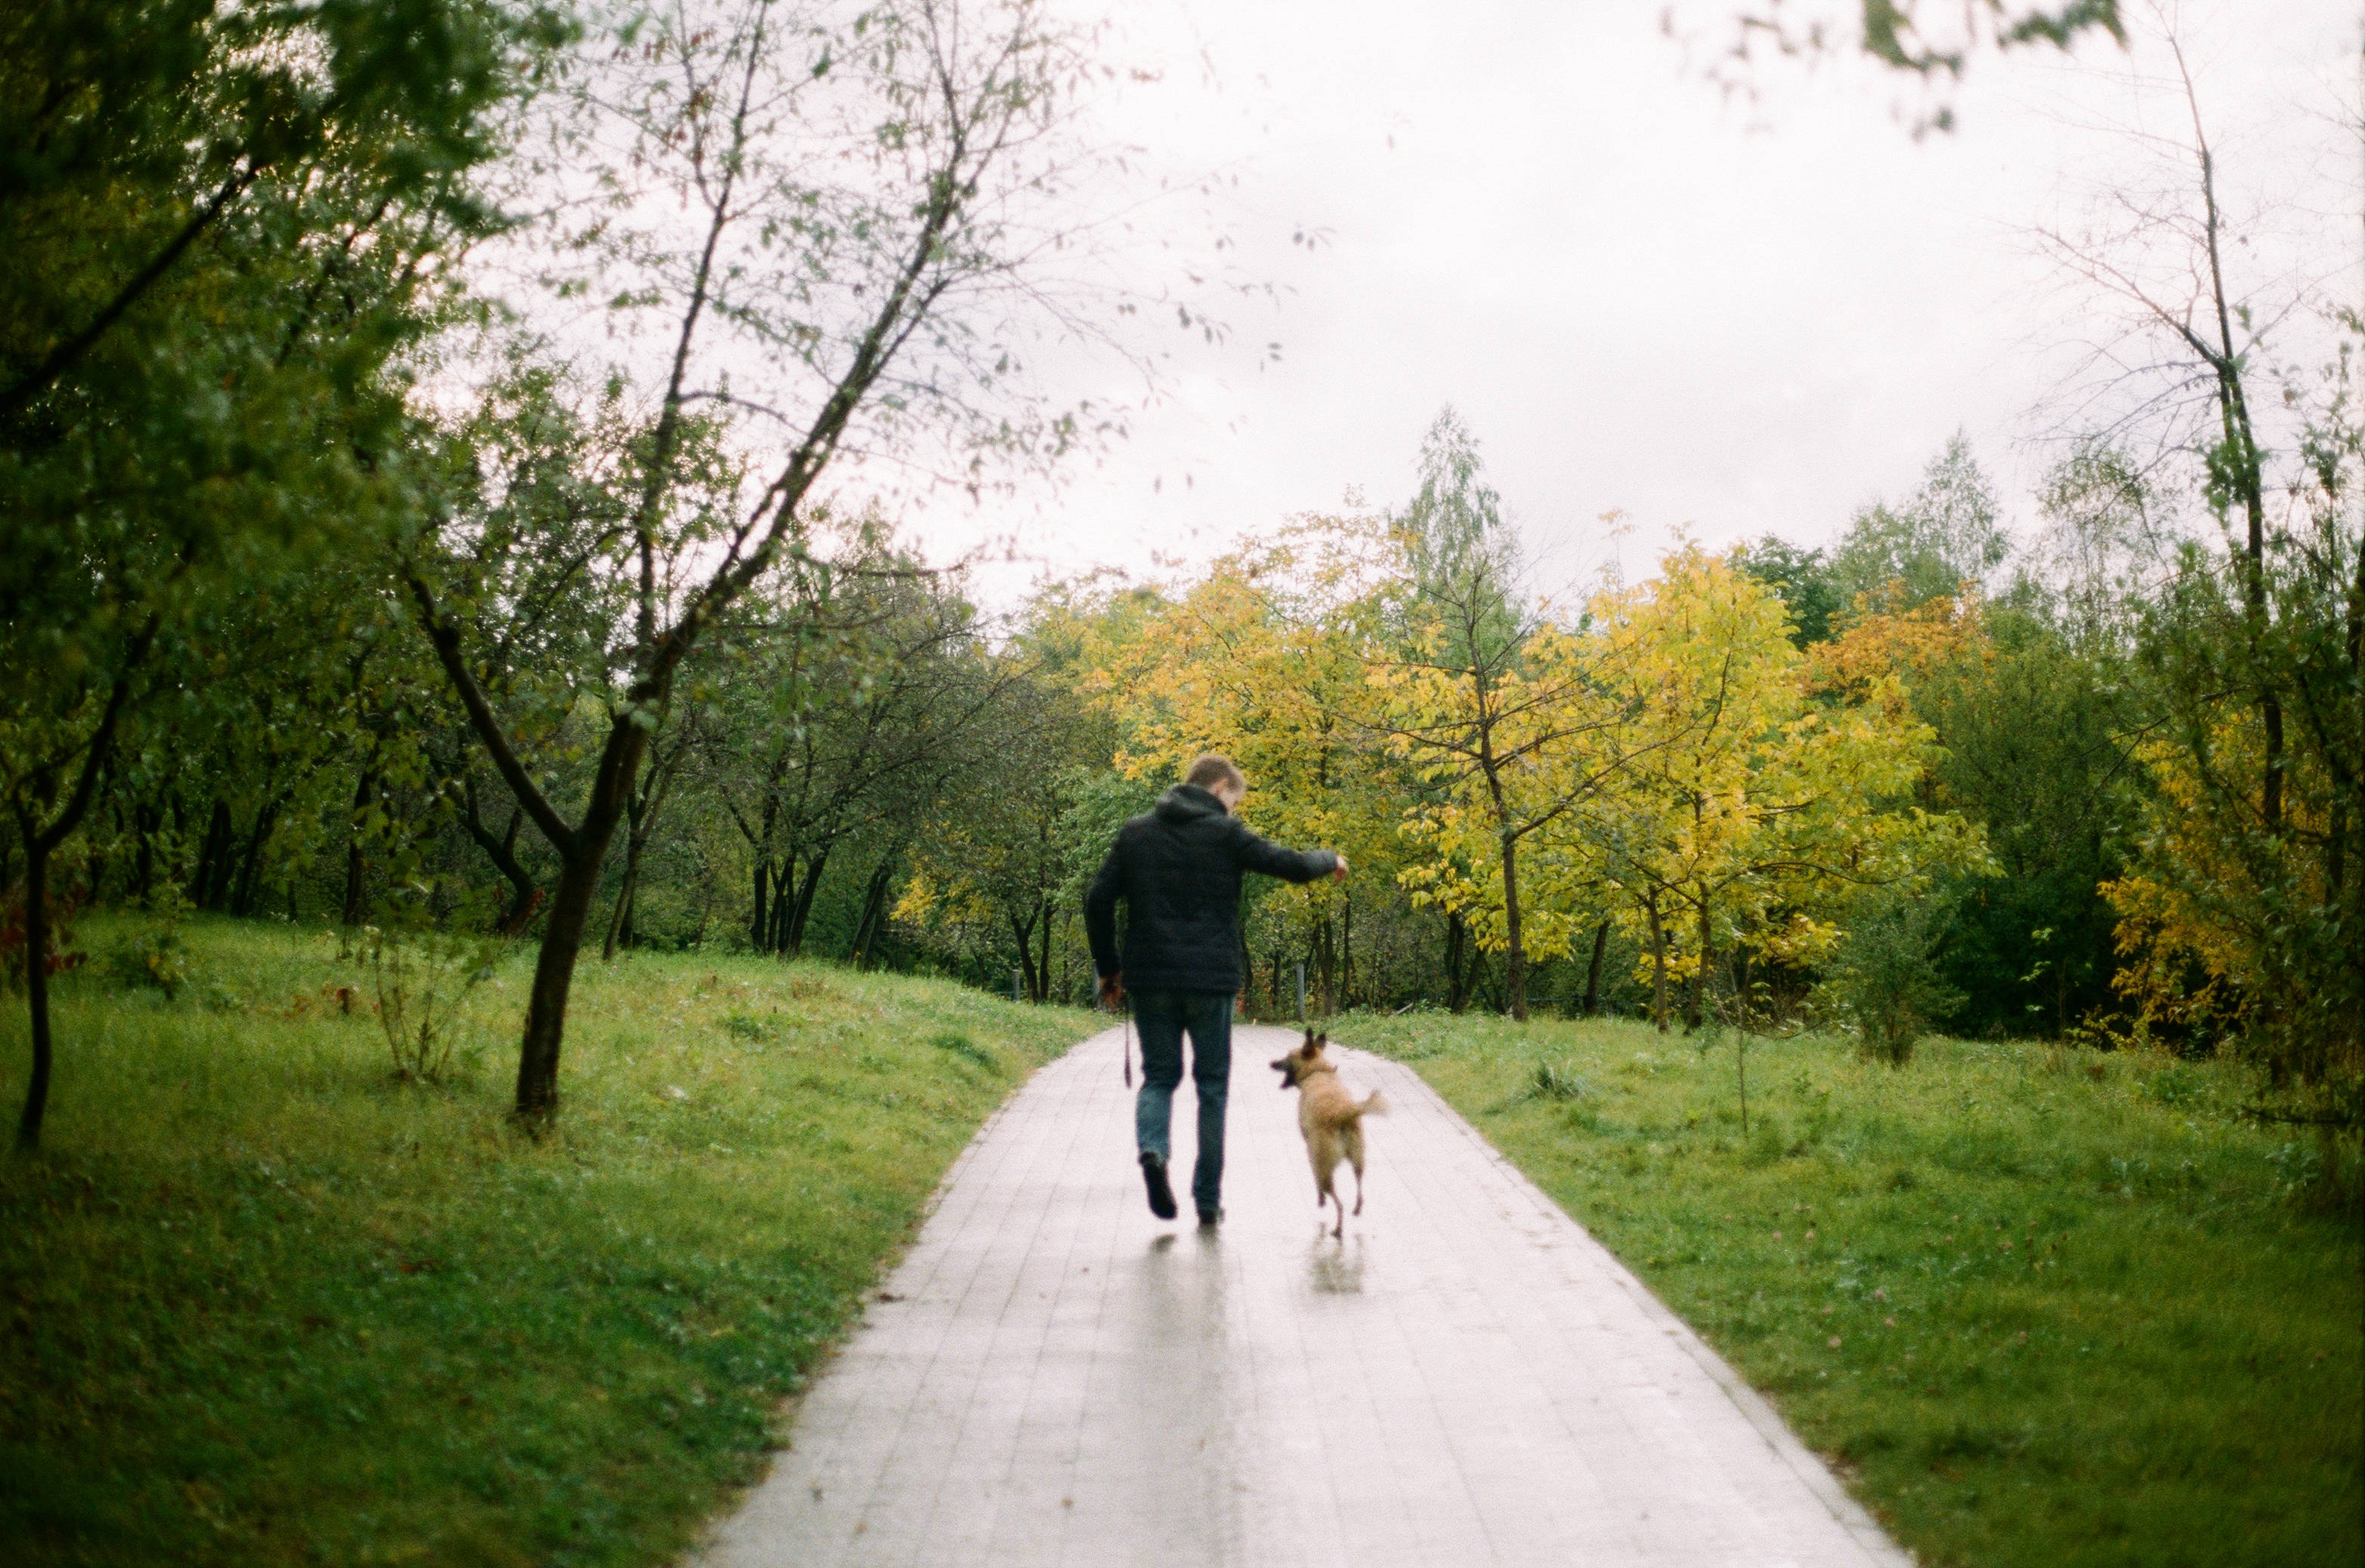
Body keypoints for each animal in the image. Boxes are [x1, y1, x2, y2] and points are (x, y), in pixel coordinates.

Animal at [1277, 1031, 1380, 1239]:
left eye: (1287, 1058)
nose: (1272, 1064)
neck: (1319, 1072)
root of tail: (1341, 1114)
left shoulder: (1310, 1149)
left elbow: (1315, 1179)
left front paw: (1320, 1199)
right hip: (1358, 1159)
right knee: (1359, 1188)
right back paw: (1356, 1209)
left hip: (1324, 1166)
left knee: (1337, 1202)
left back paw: (1338, 1228)